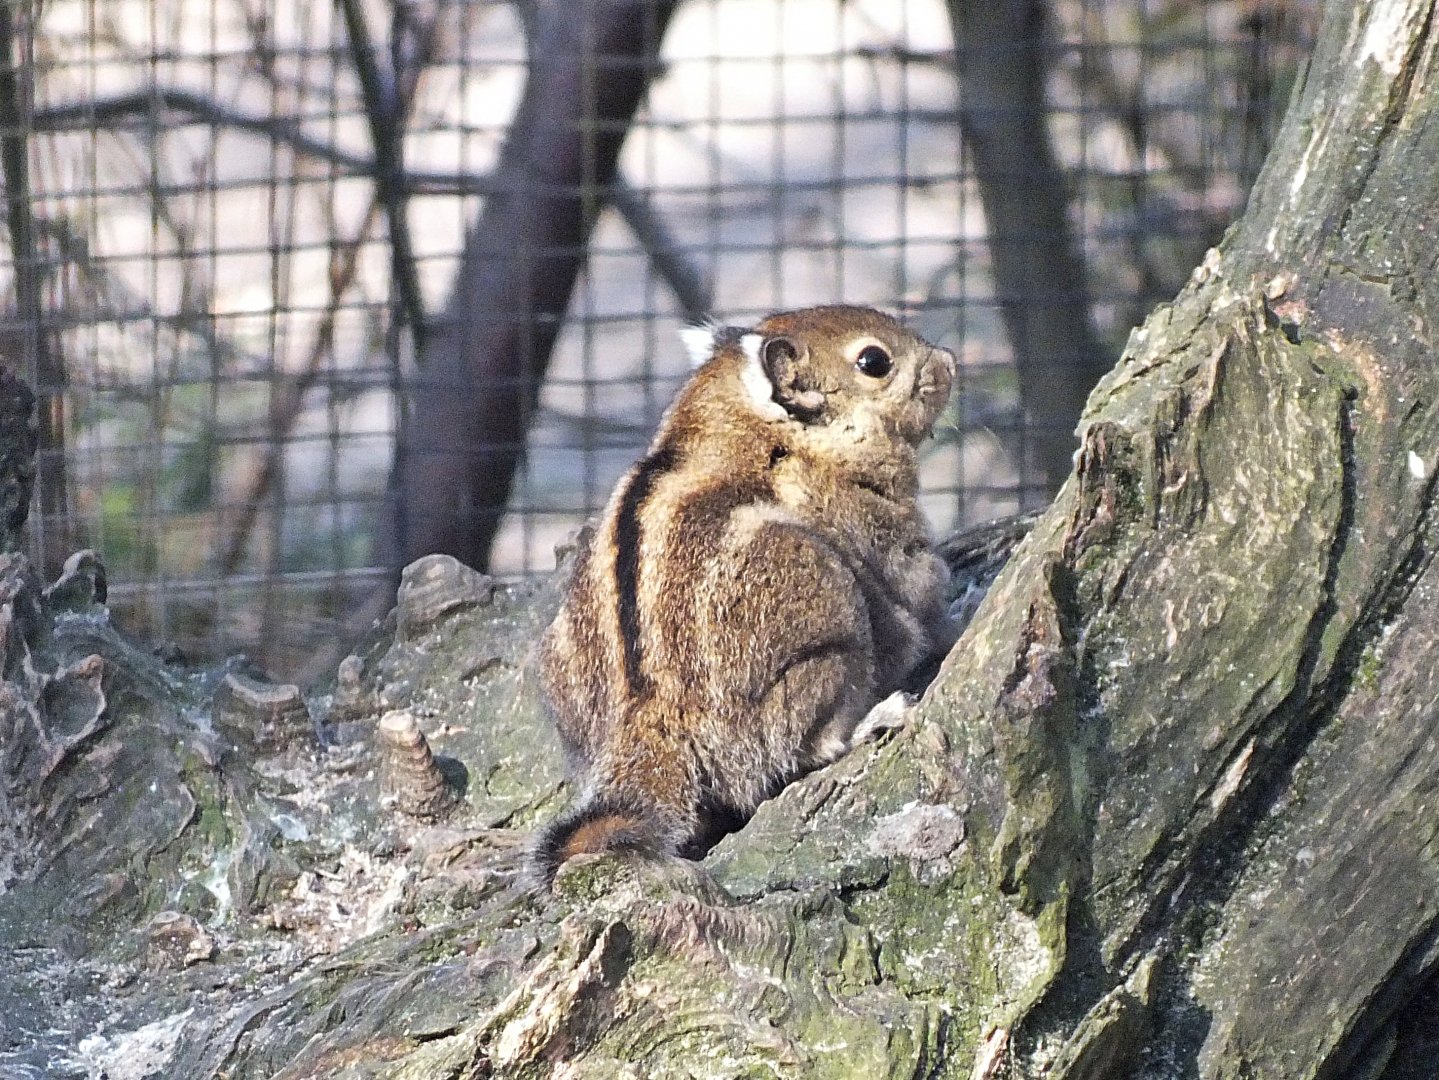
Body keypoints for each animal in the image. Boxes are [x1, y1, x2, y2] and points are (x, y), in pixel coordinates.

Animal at [532, 305, 956, 882]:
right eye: (874, 361)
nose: (950, 362)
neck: (746, 419)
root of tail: (649, 719)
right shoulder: (874, 519)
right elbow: (921, 585)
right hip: (833, 645)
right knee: (805, 746)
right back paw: (875, 717)